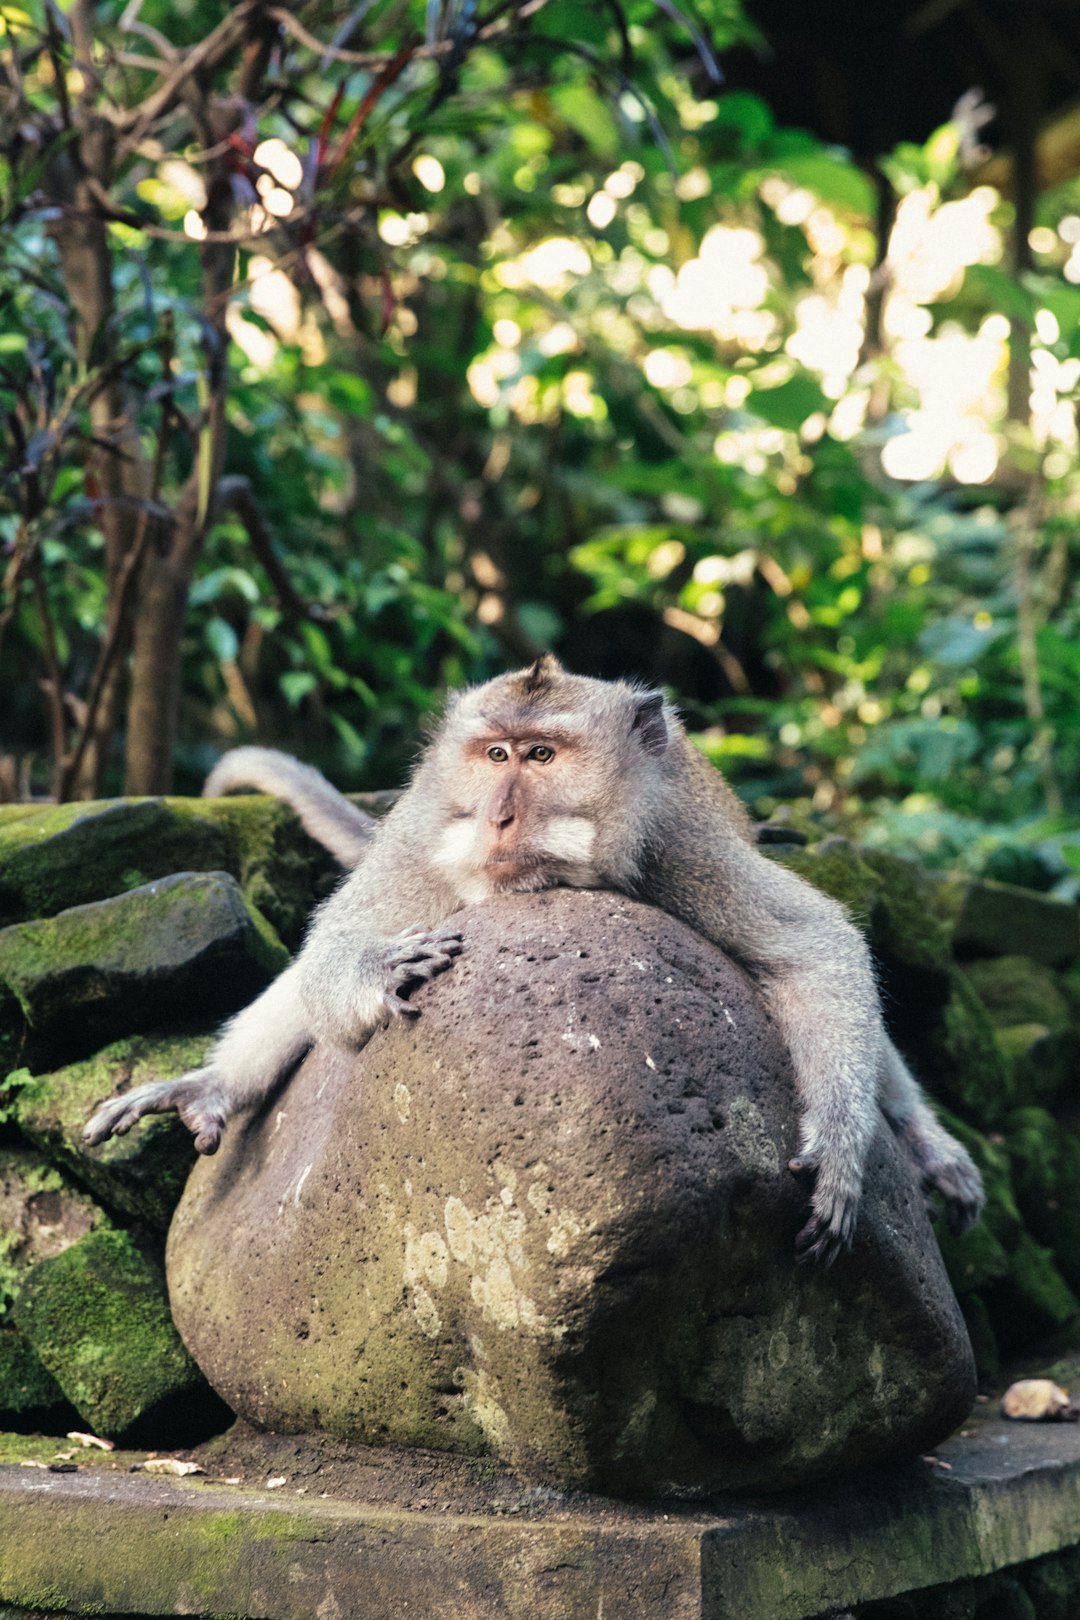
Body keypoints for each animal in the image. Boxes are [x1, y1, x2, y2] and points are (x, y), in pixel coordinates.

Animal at [80, 657, 984, 1263]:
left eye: (542, 756)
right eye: (494, 755)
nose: (499, 817)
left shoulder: (681, 848)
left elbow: (817, 948)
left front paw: (838, 1149)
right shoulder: (423, 836)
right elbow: (330, 960)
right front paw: (370, 974)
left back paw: (921, 1138)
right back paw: (214, 1088)